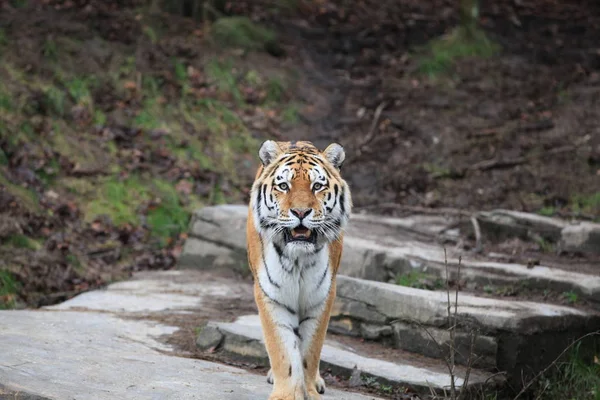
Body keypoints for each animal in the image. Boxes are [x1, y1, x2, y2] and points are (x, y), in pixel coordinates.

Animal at [246, 139, 352, 398]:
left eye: (317, 186)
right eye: (284, 186)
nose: (301, 212)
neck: (299, 259)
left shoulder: (321, 296)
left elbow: (310, 351)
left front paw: (310, 390)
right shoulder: (271, 294)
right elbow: (283, 351)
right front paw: (286, 394)